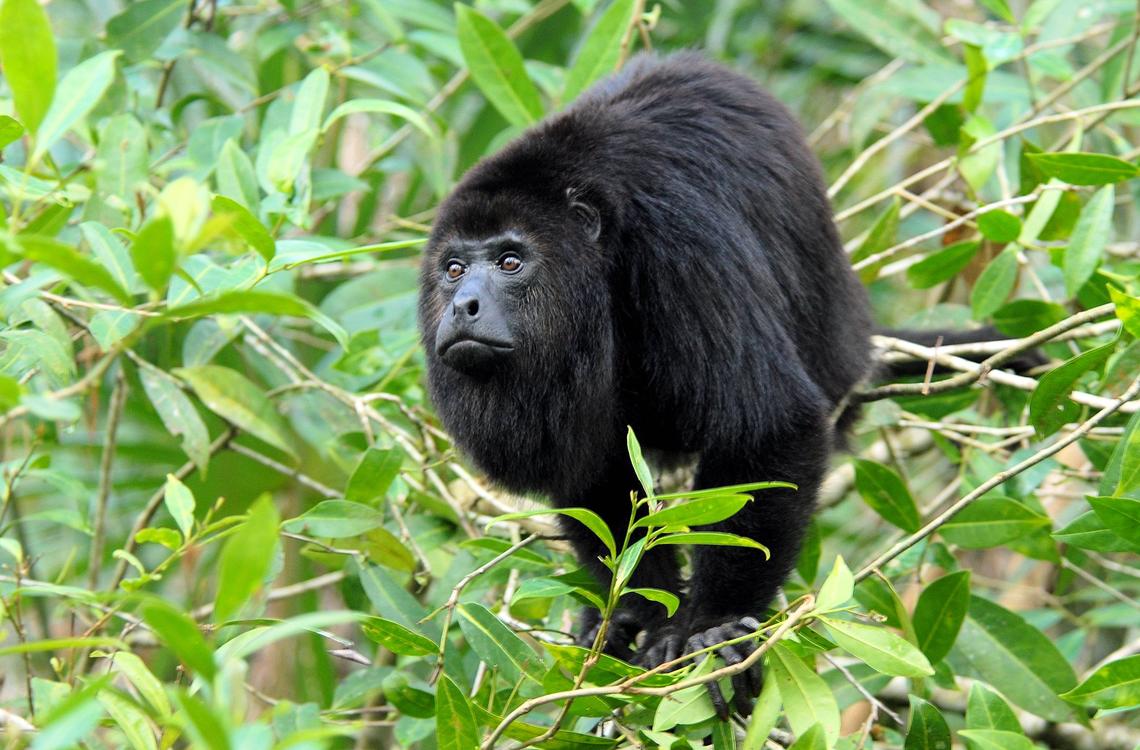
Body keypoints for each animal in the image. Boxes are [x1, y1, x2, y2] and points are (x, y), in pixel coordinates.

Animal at [418, 51, 873, 718]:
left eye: (510, 261)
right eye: (453, 269)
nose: (462, 304)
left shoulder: (678, 241)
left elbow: (769, 422)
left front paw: (713, 626)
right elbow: (592, 473)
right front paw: (636, 615)